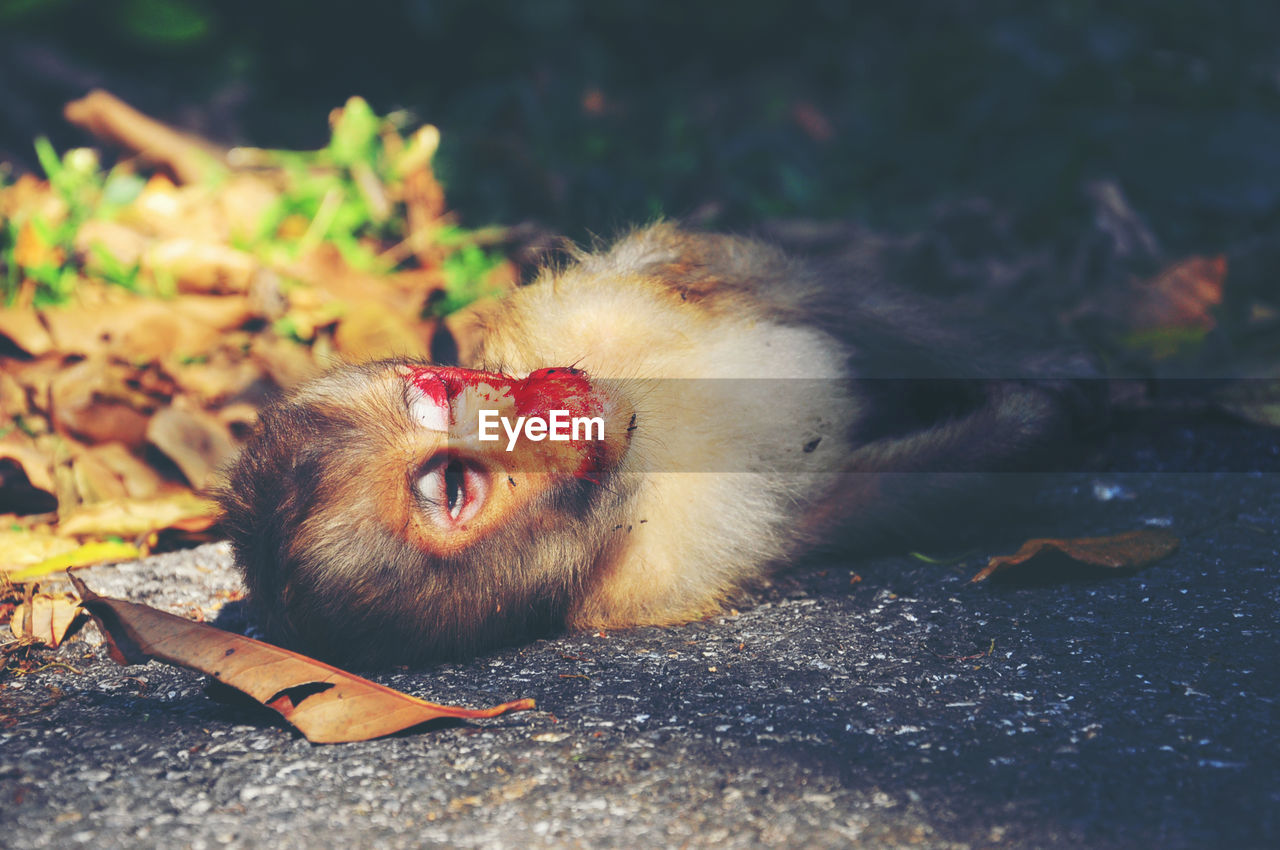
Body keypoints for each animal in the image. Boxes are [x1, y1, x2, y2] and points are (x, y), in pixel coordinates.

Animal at [217, 222, 1090, 665]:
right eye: (457, 492)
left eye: (439, 399)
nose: (537, 407)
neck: (638, 464)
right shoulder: (655, 576)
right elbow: (863, 500)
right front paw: (1040, 421)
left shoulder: (577, 314)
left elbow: (771, 285)